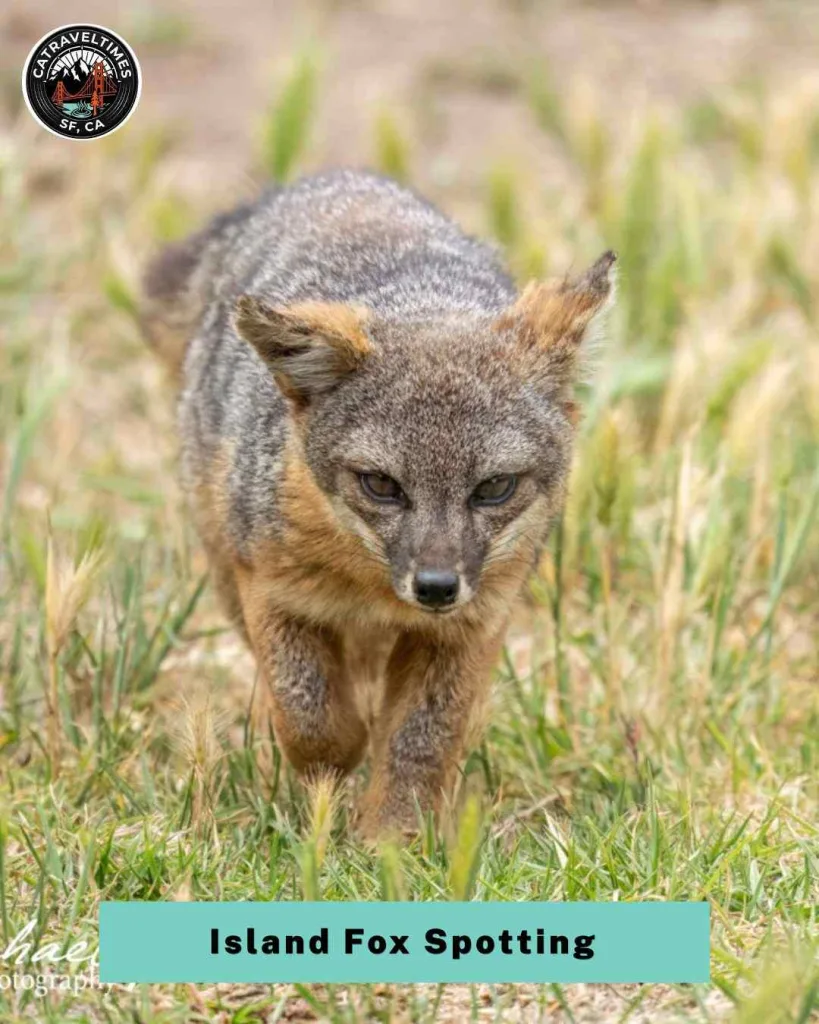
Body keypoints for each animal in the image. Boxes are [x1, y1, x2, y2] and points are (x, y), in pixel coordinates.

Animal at [141, 169, 615, 838]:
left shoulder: (472, 624)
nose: (436, 587)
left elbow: (421, 741)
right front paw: (331, 778)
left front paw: (394, 837)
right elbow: (311, 717)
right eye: (382, 485)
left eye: (494, 487)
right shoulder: (272, 591)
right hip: (225, 567)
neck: (371, 589)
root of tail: (338, 177)